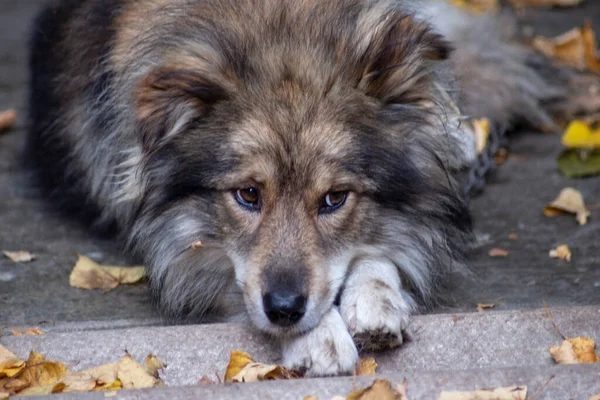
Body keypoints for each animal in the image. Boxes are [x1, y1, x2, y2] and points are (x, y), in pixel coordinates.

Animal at [28, 0, 568, 376]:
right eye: (248, 195)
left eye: (334, 199)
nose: (286, 310)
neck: (279, 24)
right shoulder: (183, 254)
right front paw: (318, 339)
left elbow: (381, 247)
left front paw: (375, 298)